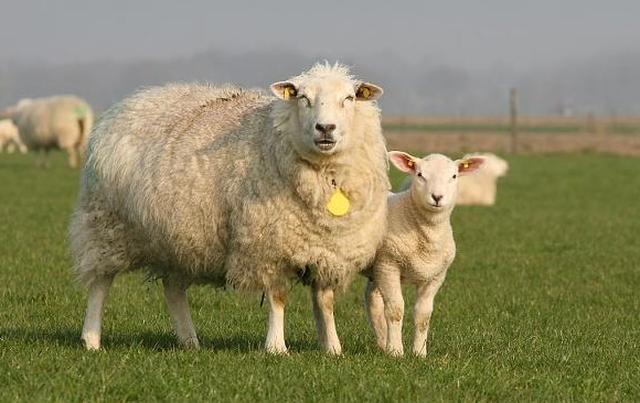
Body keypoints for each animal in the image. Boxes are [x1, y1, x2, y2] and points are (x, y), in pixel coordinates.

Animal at [69, 63, 389, 354]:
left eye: (349, 98)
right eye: (302, 98)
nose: (325, 128)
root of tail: (127, 104)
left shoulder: (328, 249)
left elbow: (325, 301)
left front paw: (333, 348)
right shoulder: (269, 246)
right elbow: (278, 297)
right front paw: (276, 347)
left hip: (177, 236)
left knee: (173, 289)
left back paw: (189, 341)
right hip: (106, 224)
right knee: (100, 282)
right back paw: (91, 339)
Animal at [365, 151, 484, 357]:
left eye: (454, 176)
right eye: (420, 175)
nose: (437, 197)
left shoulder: (436, 276)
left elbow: (423, 315)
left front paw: (419, 353)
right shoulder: (388, 265)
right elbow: (395, 310)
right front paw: (396, 352)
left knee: (372, 300)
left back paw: (381, 343)